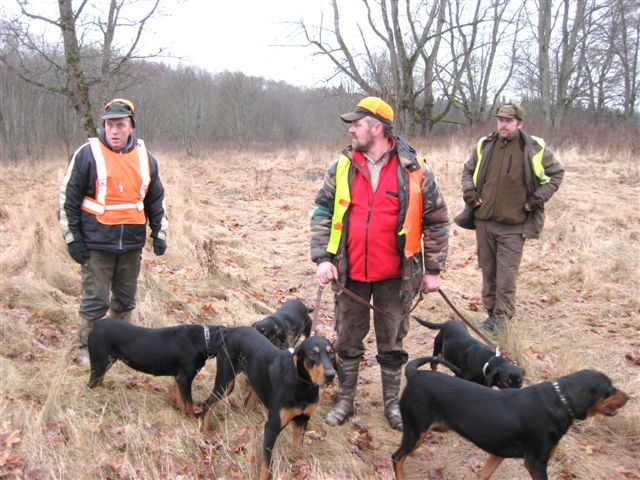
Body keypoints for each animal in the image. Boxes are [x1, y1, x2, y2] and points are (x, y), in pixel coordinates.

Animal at [87, 316, 221, 414]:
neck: (204, 339)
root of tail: (96, 324)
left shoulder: (178, 378)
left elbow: (180, 399)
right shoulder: (184, 378)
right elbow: (189, 403)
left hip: (107, 362)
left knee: (99, 381)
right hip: (99, 363)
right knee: (91, 385)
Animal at [201, 326, 342, 480]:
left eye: (331, 353)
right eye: (313, 354)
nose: (331, 375)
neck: (303, 388)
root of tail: (231, 330)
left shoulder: (302, 421)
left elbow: (297, 449)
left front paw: (298, 468)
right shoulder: (271, 427)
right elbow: (266, 463)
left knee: (246, 406)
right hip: (226, 382)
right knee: (207, 403)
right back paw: (205, 430)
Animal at [392, 356, 628, 480]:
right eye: (609, 390)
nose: (628, 397)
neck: (560, 401)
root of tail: (415, 374)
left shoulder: (497, 453)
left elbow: (483, 475)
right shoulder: (536, 463)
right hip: (416, 431)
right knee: (397, 458)